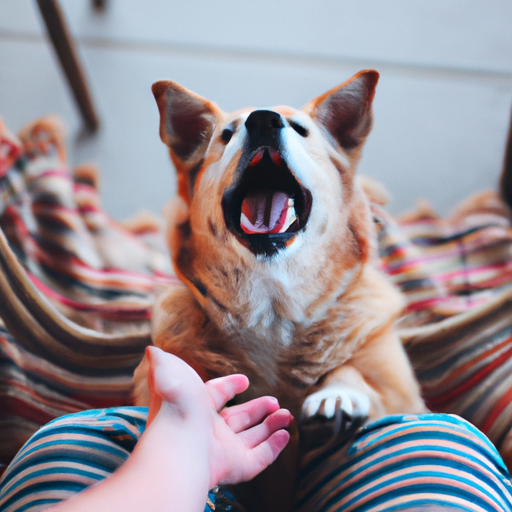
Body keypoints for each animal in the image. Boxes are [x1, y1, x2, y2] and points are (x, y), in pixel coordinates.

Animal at [134, 69, 426, 512]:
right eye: (226, 135)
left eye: (300, 129)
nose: (263, 121)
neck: (273, 309)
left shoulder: (404, 394)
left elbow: (351, 371)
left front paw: (338, 395)